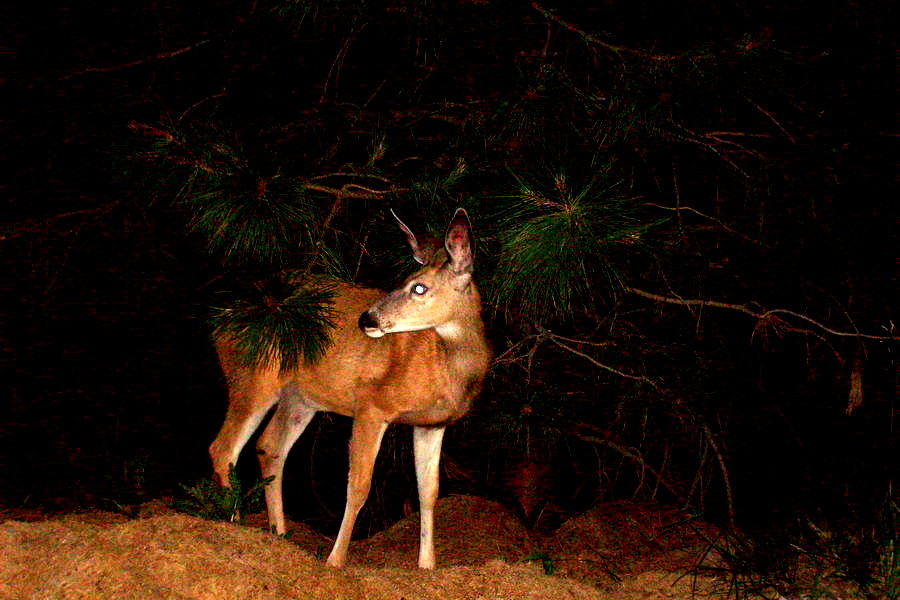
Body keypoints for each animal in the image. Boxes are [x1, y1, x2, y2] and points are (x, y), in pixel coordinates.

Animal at [209, 209, 492, 568]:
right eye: (401, 282)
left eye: (419, 287)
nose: (367, 319)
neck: (445, 368)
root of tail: (220, 317)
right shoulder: (372, 404)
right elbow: (358, 486)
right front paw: (336, 559)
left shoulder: (432, 423)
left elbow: (428, 493)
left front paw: (427, 566)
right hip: (253, 373)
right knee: (224, 448)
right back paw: (233, 527)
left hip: (301, 398)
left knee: (269, 446)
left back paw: (280, 535)